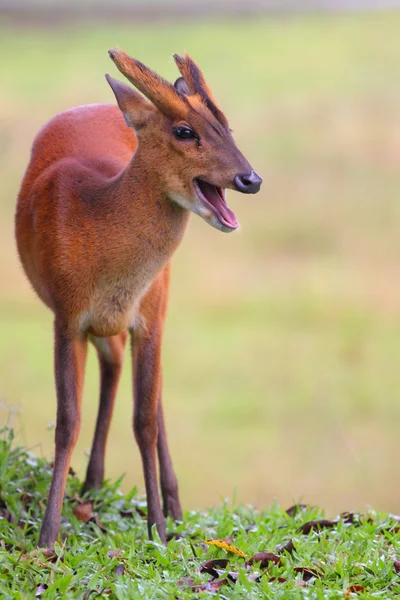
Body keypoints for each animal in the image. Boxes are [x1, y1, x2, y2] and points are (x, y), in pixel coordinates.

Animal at [14, 50, 262, 548]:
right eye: (184, 131)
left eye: (226, 125)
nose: (251, 178)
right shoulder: (67, 316)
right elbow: (67, 421)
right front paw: (48, 535)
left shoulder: (149, 317)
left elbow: (144, 420)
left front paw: (160, 530)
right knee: (112, 365)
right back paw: (92, 483)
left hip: (160, 301)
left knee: (149, 393)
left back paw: (171, 503)